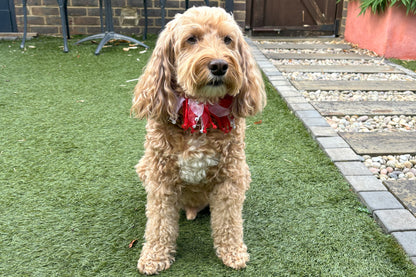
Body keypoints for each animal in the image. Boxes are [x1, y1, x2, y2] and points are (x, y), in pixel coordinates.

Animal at [131, 5, 266, 274]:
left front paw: (232, 252)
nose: (219, 65)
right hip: (144, 167)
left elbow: (229, 220)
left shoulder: (230, 176)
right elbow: (159, 223)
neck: (200, 108)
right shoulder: (160, 178)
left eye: (228, 39)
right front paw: (154, 256)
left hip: (244, 172)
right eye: (191, 39)